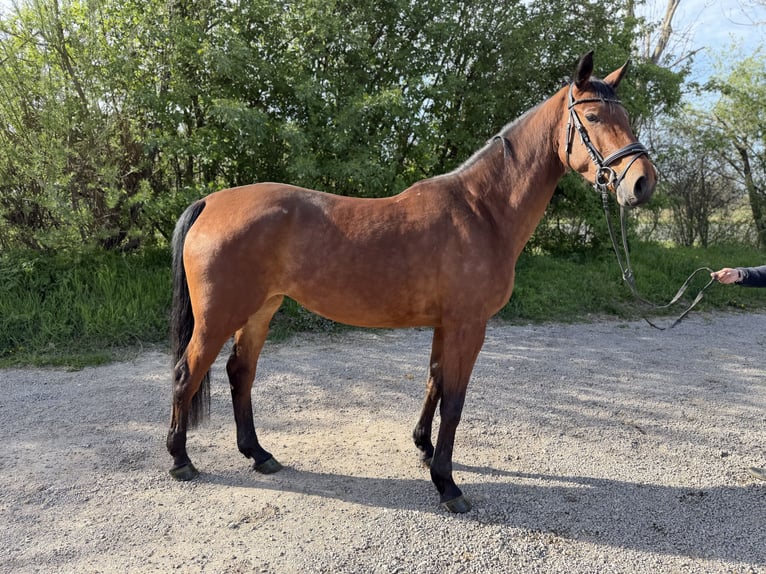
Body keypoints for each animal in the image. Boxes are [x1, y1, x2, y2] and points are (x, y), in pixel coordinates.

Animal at [166, 52, 656, 513]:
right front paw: (447, 484)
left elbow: (434, 382)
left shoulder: (445, 324)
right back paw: (180, 460)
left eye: (627, 117)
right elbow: (455, 399)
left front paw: (423, 447)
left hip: (260, 310)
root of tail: (211, 202)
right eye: (592, 117)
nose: (642, 183)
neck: (482, 211)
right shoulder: (468, 326)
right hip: (218, 317)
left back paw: (258, 454)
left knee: (240, 372)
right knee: (187, 373)